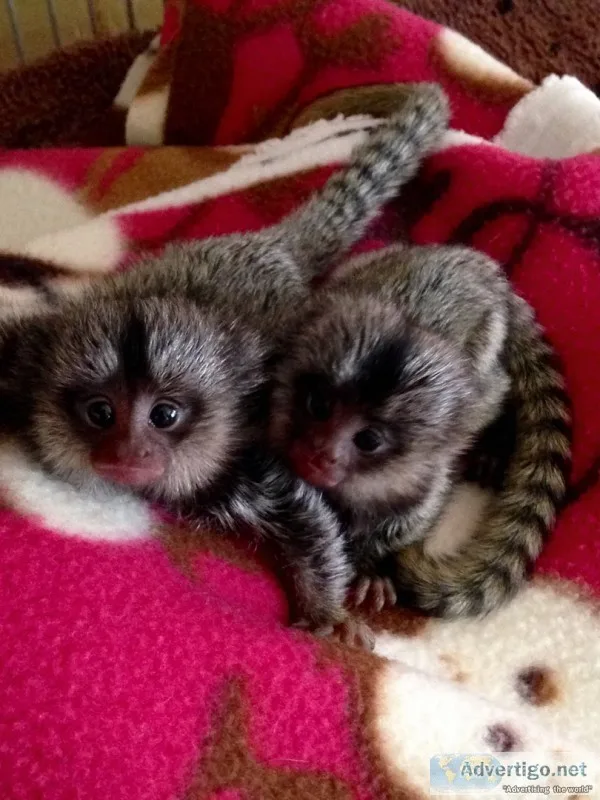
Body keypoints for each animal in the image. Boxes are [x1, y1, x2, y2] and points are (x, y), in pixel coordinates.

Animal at [0, 82, 450, 643]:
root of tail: (270, 245)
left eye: (164, 415)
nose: (128, 450)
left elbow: (307, 522)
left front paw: (325, 612)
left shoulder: (250, 461)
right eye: (100, 413)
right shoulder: (26, 351)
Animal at [268, 240, 571, 619]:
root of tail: (487, 275)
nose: (319, 452)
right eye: (319, 406)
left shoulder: (426, 476)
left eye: (368, 440)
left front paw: (372, 568)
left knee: (498, 390)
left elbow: (411, 515)